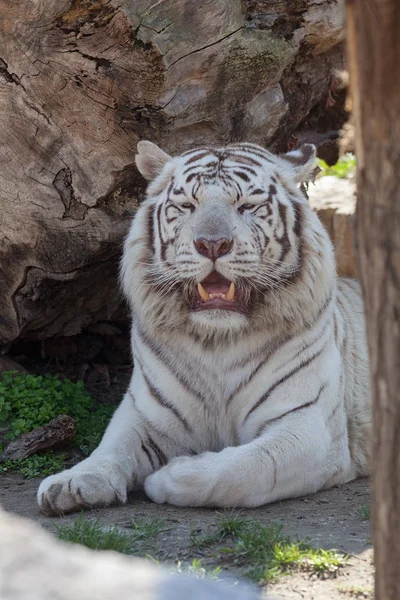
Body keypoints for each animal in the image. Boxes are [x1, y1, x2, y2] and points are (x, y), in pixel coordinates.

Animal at [37, 142, 372, 516]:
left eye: (247, 206)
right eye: (187, 205)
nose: (213, 244)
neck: (218, 341)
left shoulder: (308, 426)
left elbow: (244, 468)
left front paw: (166, 477)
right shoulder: (146, 413)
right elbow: (111, 448)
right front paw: (70, 484)